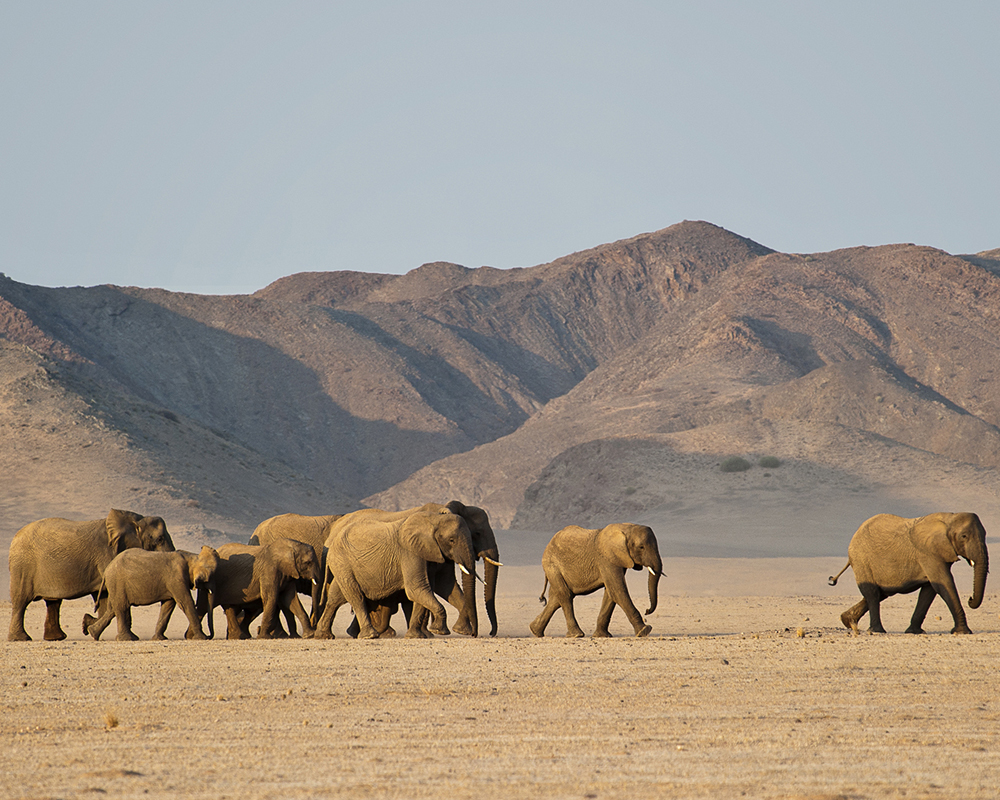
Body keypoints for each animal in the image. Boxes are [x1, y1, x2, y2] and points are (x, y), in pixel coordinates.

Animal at [8, 509, 175, 641]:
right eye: (160, 539)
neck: (134, 520)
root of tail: (14, 537)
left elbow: (105, 597)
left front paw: (87, 625)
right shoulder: (106, 553)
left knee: (53, 602)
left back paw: (56, 638)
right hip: (22, 566)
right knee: (21, 601)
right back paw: (21, 638)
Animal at [82, 546, 220, 641]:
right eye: (210, 575)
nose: (210, 636)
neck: (191, 556)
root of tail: (107, 570)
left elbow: (168, 605)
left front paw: (159, 639)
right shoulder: (176, 579)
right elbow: (185, 603)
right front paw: (202, 638)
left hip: (116, 585)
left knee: (113, 609)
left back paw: (93, 633)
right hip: (117, 582)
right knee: (121, 607)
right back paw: (127, 639)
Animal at [332, 501, 501, 638]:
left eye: (472, 535)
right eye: (477, 534)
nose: (478, 634)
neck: (439, 515)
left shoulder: (434, 552)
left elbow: (442, 586)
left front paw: (456, 631)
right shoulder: (411, 551)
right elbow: (419, 587)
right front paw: (436, 631)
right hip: (342, 562)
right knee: (355, 595)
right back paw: (368, 634)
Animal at [530, 523, 663, 638]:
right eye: (641, 547)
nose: (647, 611)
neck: (626, 527)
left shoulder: (616, 559)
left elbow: (610, 593)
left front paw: (602, 636)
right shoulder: (606, 559)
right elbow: (617, 590)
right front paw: (644, 631)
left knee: (556, 599)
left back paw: (535, 631)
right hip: (552, 565)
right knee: (565, 595)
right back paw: (577, 635)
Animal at [829, 512, 989, 634]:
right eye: (964, 536)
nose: (970, 599)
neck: (949, 518)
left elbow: (930, 590)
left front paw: (914, 632)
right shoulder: (929, 553)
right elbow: (944, 583)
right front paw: (962, 632)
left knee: (882, 593)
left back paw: (848, 620)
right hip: (862, 561)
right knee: (872, 593)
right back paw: (877, 631)